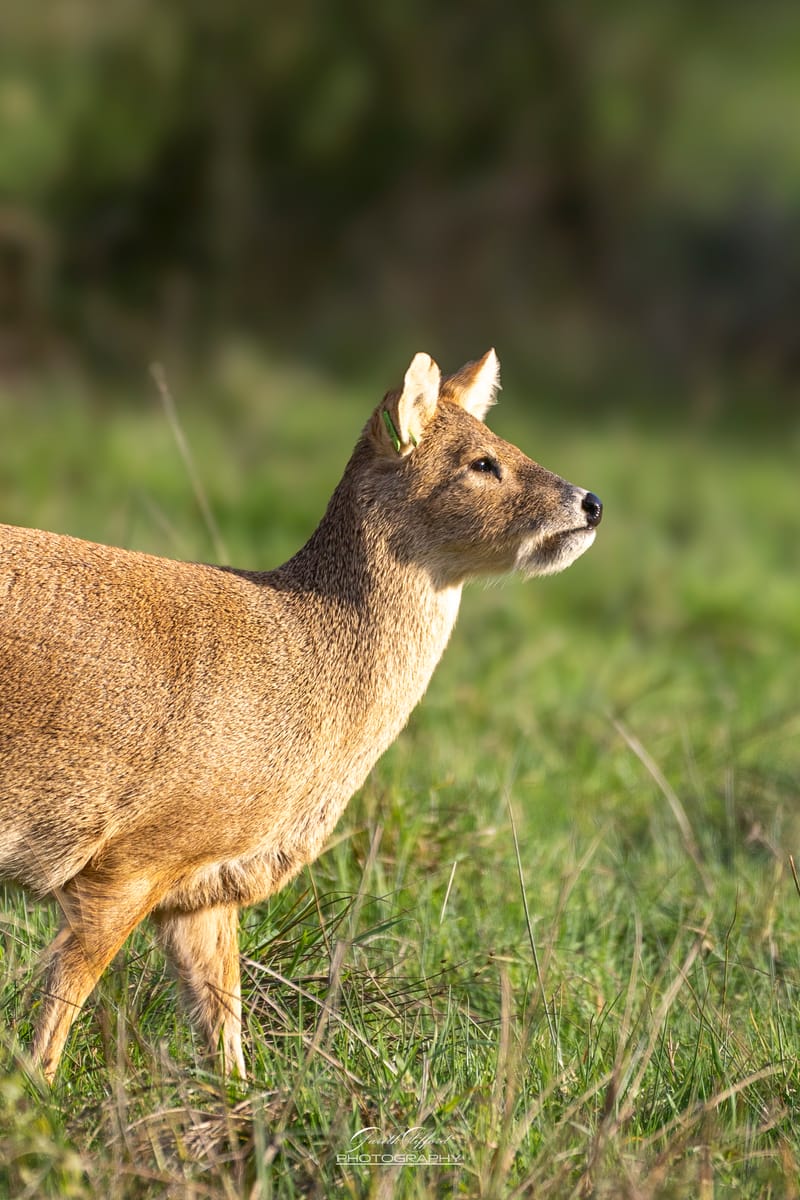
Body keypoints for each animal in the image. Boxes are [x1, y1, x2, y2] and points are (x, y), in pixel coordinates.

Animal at [0, 349, 602, 1081]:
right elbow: (64, 998)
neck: (309, 666)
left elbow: (222, 1020)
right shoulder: (132, 856)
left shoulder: (204, 885)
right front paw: (37, 1094)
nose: (592, 503)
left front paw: (243, 1103)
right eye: (482, 462)